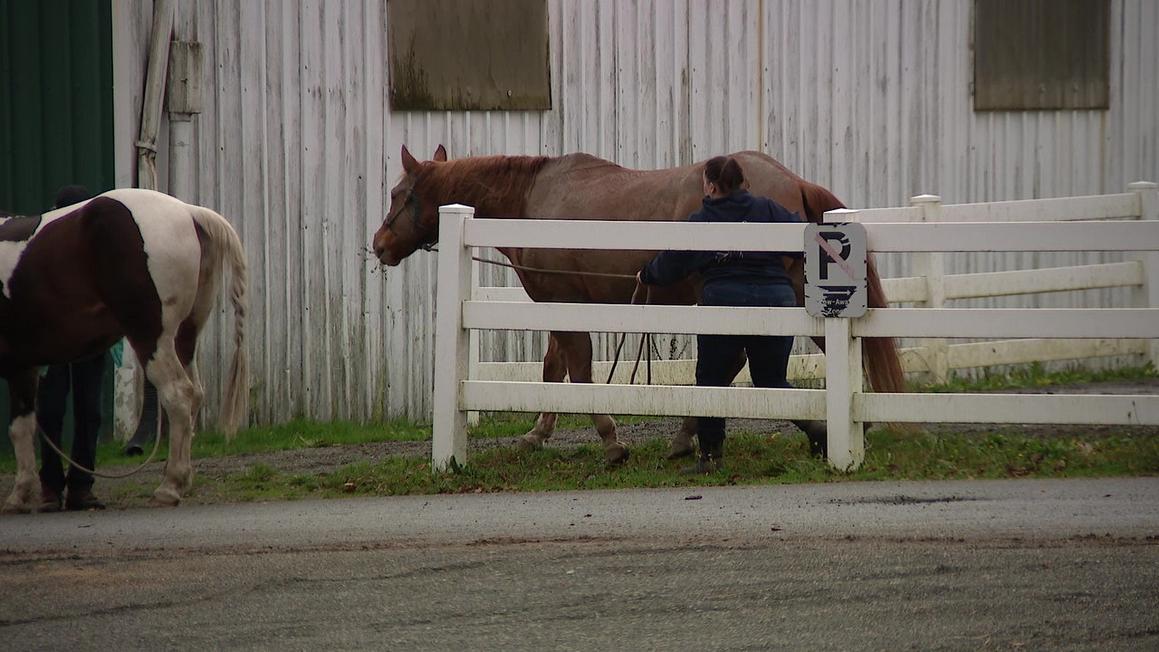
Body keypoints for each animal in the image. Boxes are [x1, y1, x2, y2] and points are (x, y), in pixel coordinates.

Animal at [0, 188, 248, 512]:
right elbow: (23, 427)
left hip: (150, 337)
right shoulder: (23, 366)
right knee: (194, 394)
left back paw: (169, 486)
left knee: (178, 395)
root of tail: (188, 212)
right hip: (184, 336)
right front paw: (21, 493)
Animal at [372, 145, 905, 464]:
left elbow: (578, 372)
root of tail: (793, 182)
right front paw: (538, 433)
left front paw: (610, 440)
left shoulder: (563, 302)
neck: (533, 202)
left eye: (398, 193)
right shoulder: (556, 302)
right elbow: (553, 369)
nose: (378, 244)